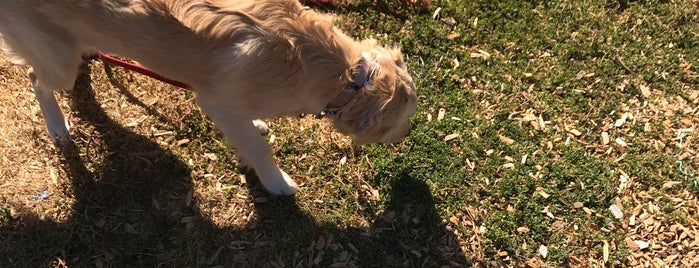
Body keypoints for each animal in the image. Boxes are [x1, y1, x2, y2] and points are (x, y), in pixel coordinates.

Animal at [0, 0, 416, 197]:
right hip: (57, 62)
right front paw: (276, 182)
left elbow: (251, 128)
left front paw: (259, 123)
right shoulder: (216, 103)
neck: (345, 74)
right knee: (37, 78)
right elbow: (259, 149)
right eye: (406, 119)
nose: (409, 134)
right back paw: (57, 125)